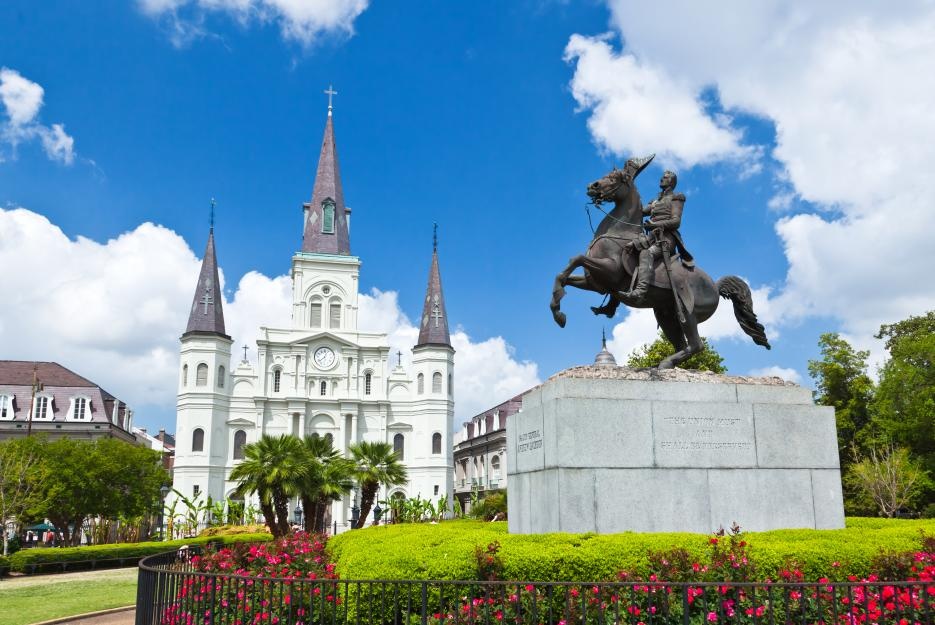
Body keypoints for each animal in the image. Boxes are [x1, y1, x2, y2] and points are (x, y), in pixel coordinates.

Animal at [548, 155, 768, 368]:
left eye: (616, 177)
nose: (592, 186)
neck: (619, 232)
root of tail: (714, 285)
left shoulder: (610, 271)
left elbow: (577, 258)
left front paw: (559, 312)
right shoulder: (596, 283)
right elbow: (563, 275)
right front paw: (558, 312)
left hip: (687, 312)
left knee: (696, 345)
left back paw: (665, 363)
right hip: (666, 315)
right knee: (683, 345)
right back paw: (663, 364)